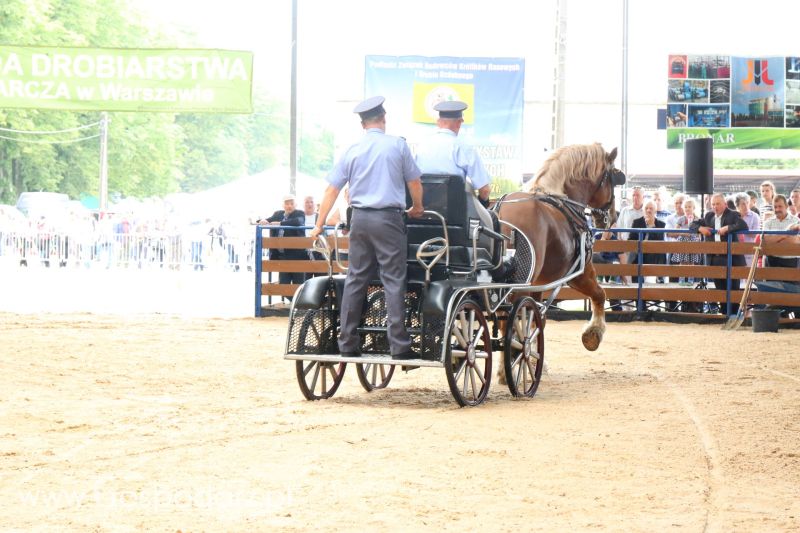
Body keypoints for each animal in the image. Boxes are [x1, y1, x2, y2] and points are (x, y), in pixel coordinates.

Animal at [496, 143, 620, 356]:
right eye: (613, 178)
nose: (613, 216)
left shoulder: (539, 284)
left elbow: (536, 319)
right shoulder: (580, 273)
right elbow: (600, 294)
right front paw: (593, 334)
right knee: (507, 322)